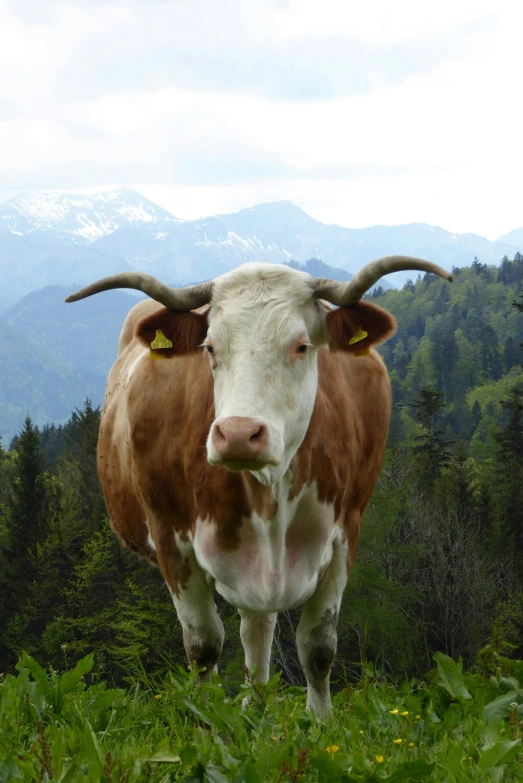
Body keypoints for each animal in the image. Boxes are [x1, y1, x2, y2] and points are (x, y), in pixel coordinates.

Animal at [65, 258, 450, 716]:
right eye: (211, 348)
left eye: (301, 346)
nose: (237, 434)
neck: (270, 494)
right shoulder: (170, 537)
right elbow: (203, 645)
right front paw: (206, 719)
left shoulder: (345, 534)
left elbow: (318, 648)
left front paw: (321, 722)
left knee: (258, 628)